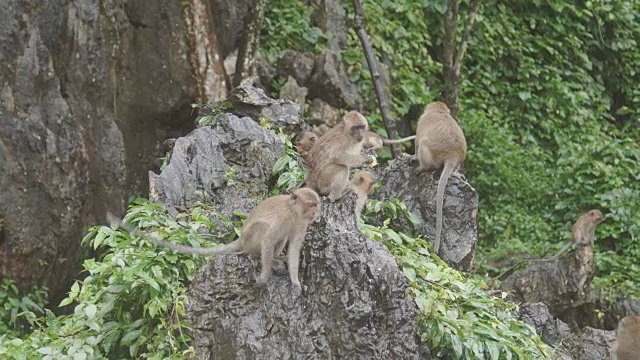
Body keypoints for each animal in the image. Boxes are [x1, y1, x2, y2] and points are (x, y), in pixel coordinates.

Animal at [109, 187, 322, 288]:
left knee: (282, 239)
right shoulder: (285, 218)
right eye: (311, 204)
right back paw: (257, 256)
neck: (295, 212)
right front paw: (265, 276)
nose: (315, 212)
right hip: (250, 238)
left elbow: (293, 246)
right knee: (263, 233)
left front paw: (295, 281)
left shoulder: (302, 223)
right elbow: (269, 239)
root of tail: (241, 239)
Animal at [412, 100, 468, 256]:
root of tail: (452, 156)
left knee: (422, 143)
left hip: (432, 157)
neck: (439, 111)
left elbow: (417, 141)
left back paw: (422, 167)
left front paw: (413, 157)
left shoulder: (422, 120)